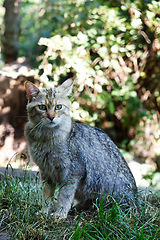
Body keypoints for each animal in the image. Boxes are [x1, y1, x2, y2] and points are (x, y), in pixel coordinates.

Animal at [24, 79, 138, 220]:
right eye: (42, 107)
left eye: (58, 107)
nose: (51, 117)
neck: (45, 139)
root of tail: (136, 201)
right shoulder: (46, 172)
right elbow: (46, 197)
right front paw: (44, 212)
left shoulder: (72, 173)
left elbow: (64, 196)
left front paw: (60, 214)